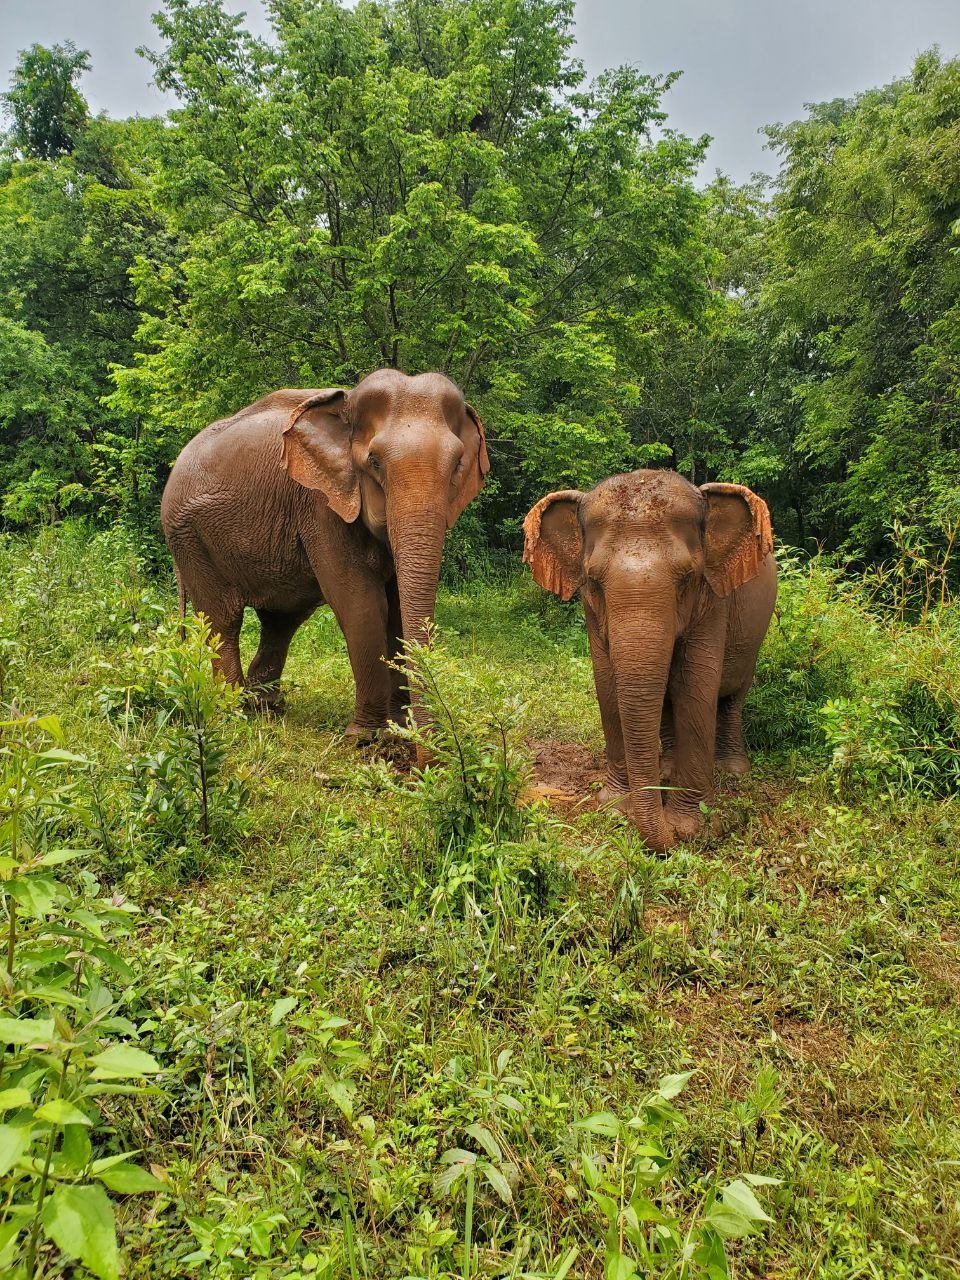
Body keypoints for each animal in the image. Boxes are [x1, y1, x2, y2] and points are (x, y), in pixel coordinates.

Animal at [161, 366, 488, 737]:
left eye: (458, 464)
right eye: (374, 462)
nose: (427, 749)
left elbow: (396, 607)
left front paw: (398, 730)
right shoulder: (320, 505)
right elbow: (360, 601)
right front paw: (366, 738)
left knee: (280, 620)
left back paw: (265, 709)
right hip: (190, 539)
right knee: (223, 620)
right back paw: (232, 714)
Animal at [522, 471, 778, 849]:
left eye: (687, 578)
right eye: (593, 581)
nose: (668, 838)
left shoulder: (713, 601)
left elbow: (694, 688)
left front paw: (690, 827)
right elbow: (606, 682)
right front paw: (614, 807)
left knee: (733, 696)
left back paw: (731, 770)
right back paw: (667, 770)